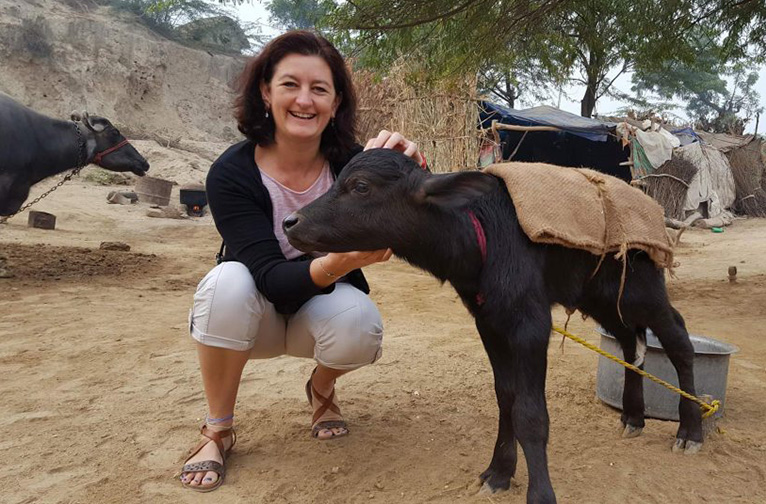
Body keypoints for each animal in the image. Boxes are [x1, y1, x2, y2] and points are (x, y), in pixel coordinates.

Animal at [282, 148, 702, 504]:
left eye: (360, 186)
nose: (290, 222)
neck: (480, 235)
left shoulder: (530, 325)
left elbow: (531, 413)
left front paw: (540, 494)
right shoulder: (489, 323)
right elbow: (507, 397)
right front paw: (499, 472)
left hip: (643, 288)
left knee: (678, 338)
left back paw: (690, 431)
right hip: (600, 296)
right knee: (630, 340)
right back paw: (633, 417)